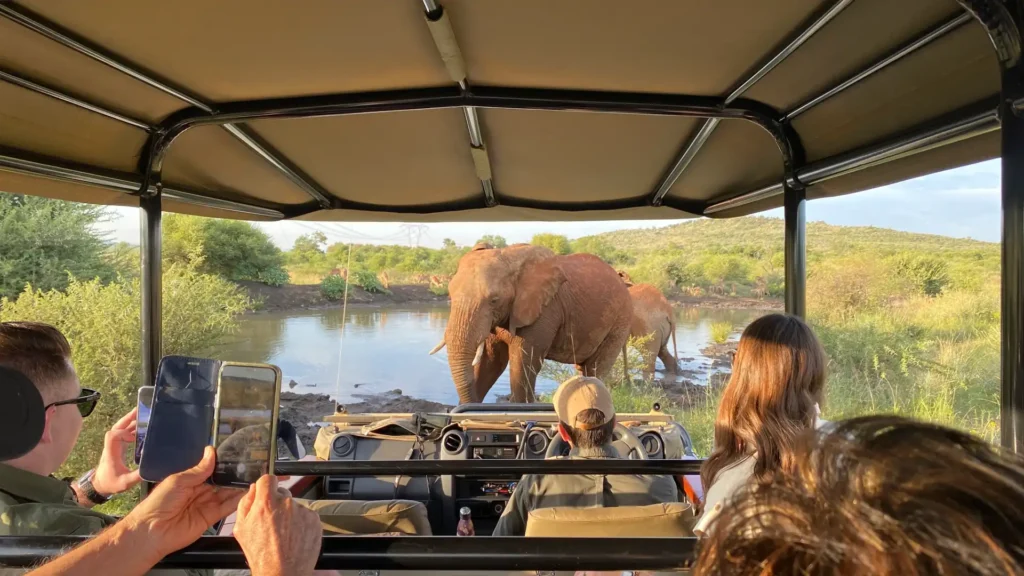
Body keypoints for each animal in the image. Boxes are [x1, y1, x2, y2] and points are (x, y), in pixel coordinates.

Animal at [430, 242, 630, 403]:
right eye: (449, 294)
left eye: (494, 300)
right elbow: (491, 362)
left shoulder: (545, 310)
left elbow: (522, 363)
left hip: (619, 321)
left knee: (596, 369)